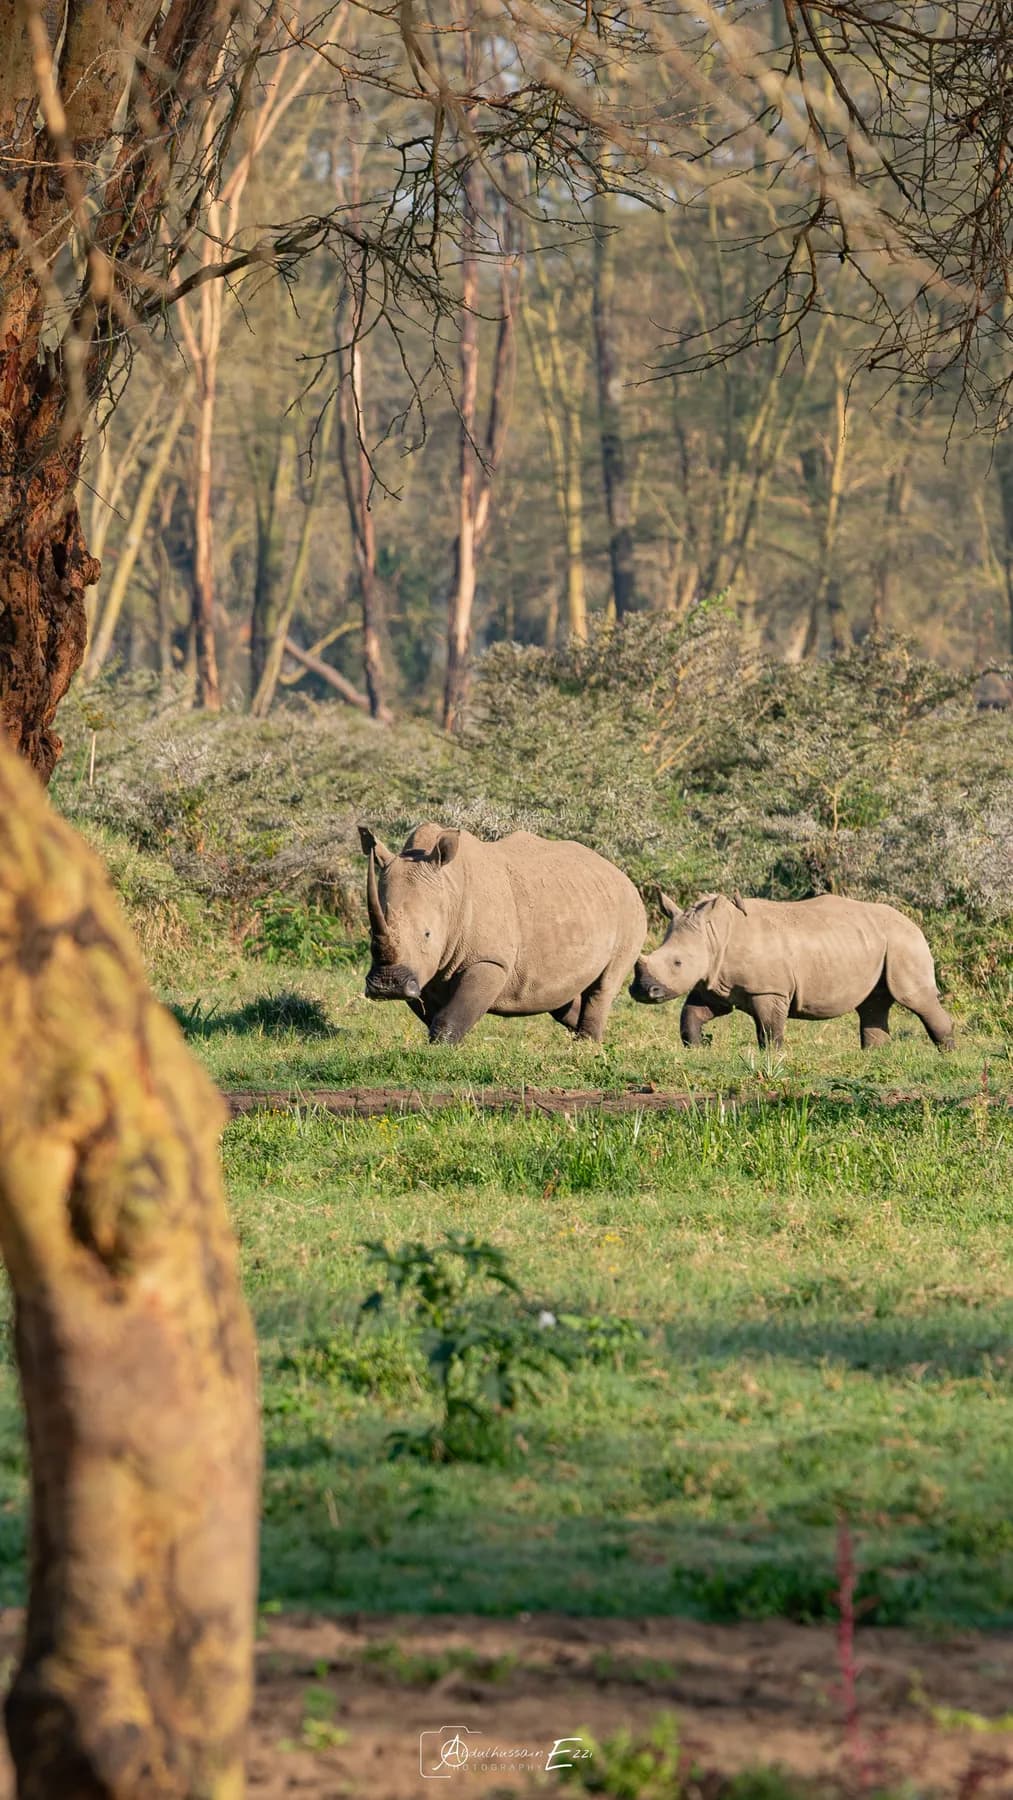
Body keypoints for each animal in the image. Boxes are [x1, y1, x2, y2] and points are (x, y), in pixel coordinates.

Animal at [359, 822, 647, 1045]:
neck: (450, 889)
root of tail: (621, 874)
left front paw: (440, 1050)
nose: (388, 986)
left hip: (630, 911)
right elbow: (434, 1014)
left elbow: (450, 1016)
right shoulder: (421, 969)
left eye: (427, 934)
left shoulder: (489, 960)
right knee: (559, 997)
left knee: (604, 985)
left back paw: (587, 1046)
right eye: (371, 932)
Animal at [630, 891, 955, 1051]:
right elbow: (692, 1014)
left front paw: (772, 1057)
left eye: (677, 963)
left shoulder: (769, 989)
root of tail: (912, 923)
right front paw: (696, 1048)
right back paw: (875, 1056)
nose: (642, 990)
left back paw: (946, 1052)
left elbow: (769, 1028)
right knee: (873, 1004)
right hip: (878, 941)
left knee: (914, 998)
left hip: (904, 942)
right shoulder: (714, 983)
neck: (715, 934)